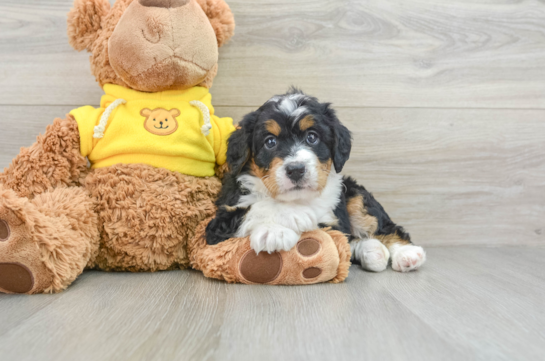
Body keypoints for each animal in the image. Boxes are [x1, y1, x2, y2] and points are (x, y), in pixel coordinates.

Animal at [205, 89, 424, 270]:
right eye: (270, 142)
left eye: (312, 137)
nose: (296, 170)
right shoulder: (217, 226)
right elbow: (253, 208)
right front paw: (277, 229)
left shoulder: (333, 222)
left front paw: (280, 226)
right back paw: (373, 251)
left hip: (355, 195)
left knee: (384, 226)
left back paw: (407, 254)